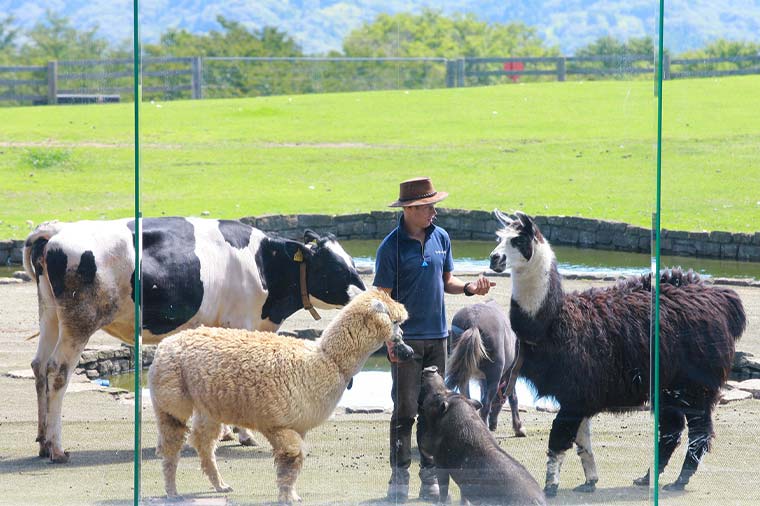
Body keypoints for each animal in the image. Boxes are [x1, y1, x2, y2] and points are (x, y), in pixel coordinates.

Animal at [23, 215, 366, 460]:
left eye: (353, 263)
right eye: (337, 268)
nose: (366, 295)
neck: (263, 262)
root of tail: (55, 232)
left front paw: (225, 431)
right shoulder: (238, 324)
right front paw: (243, 434)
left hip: (50, 315)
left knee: (39, 365)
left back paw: (42, 442)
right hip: (79, 322)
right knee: (57, 371)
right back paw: (56, 448)